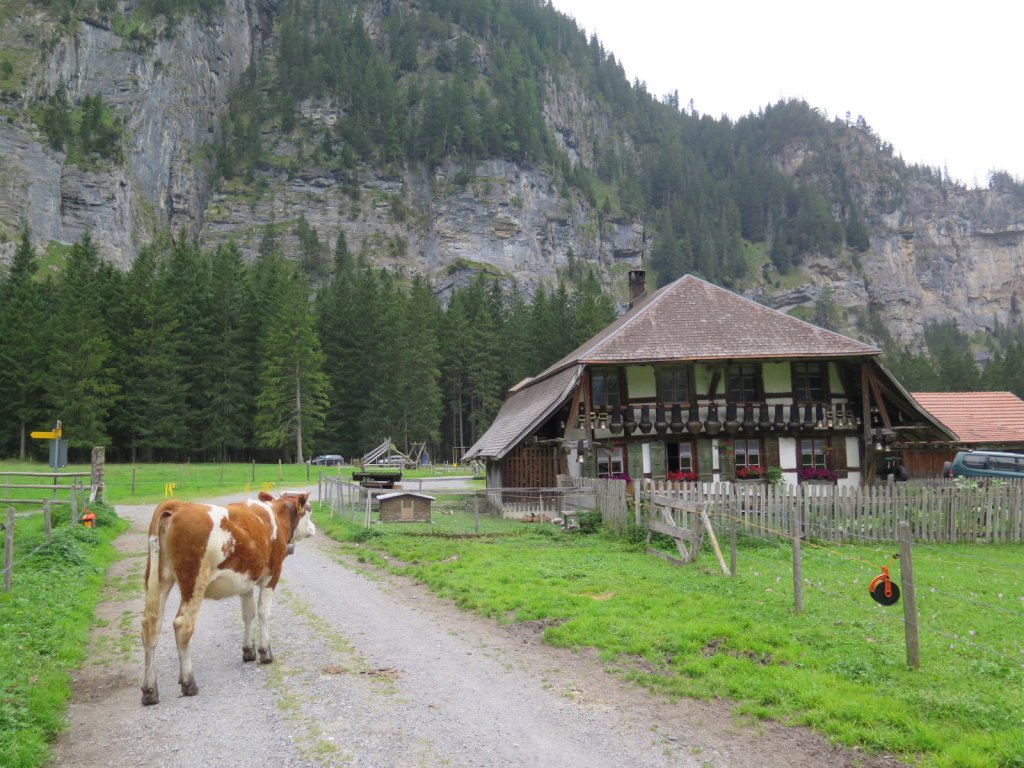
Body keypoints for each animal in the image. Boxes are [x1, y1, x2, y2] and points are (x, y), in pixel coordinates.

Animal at [140, 489, 313, 708]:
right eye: (310, 509)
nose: (314, 528)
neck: (275, 514)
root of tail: (179, 505)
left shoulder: (245, 580)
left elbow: (248, 614)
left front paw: (248, 651)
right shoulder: (271, 576)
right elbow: (263, 612)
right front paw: (265, 652)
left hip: (160, 579)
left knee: (151, 626)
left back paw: (149, 690)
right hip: (195, 582)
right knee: (183, 625)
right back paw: (188, 682)